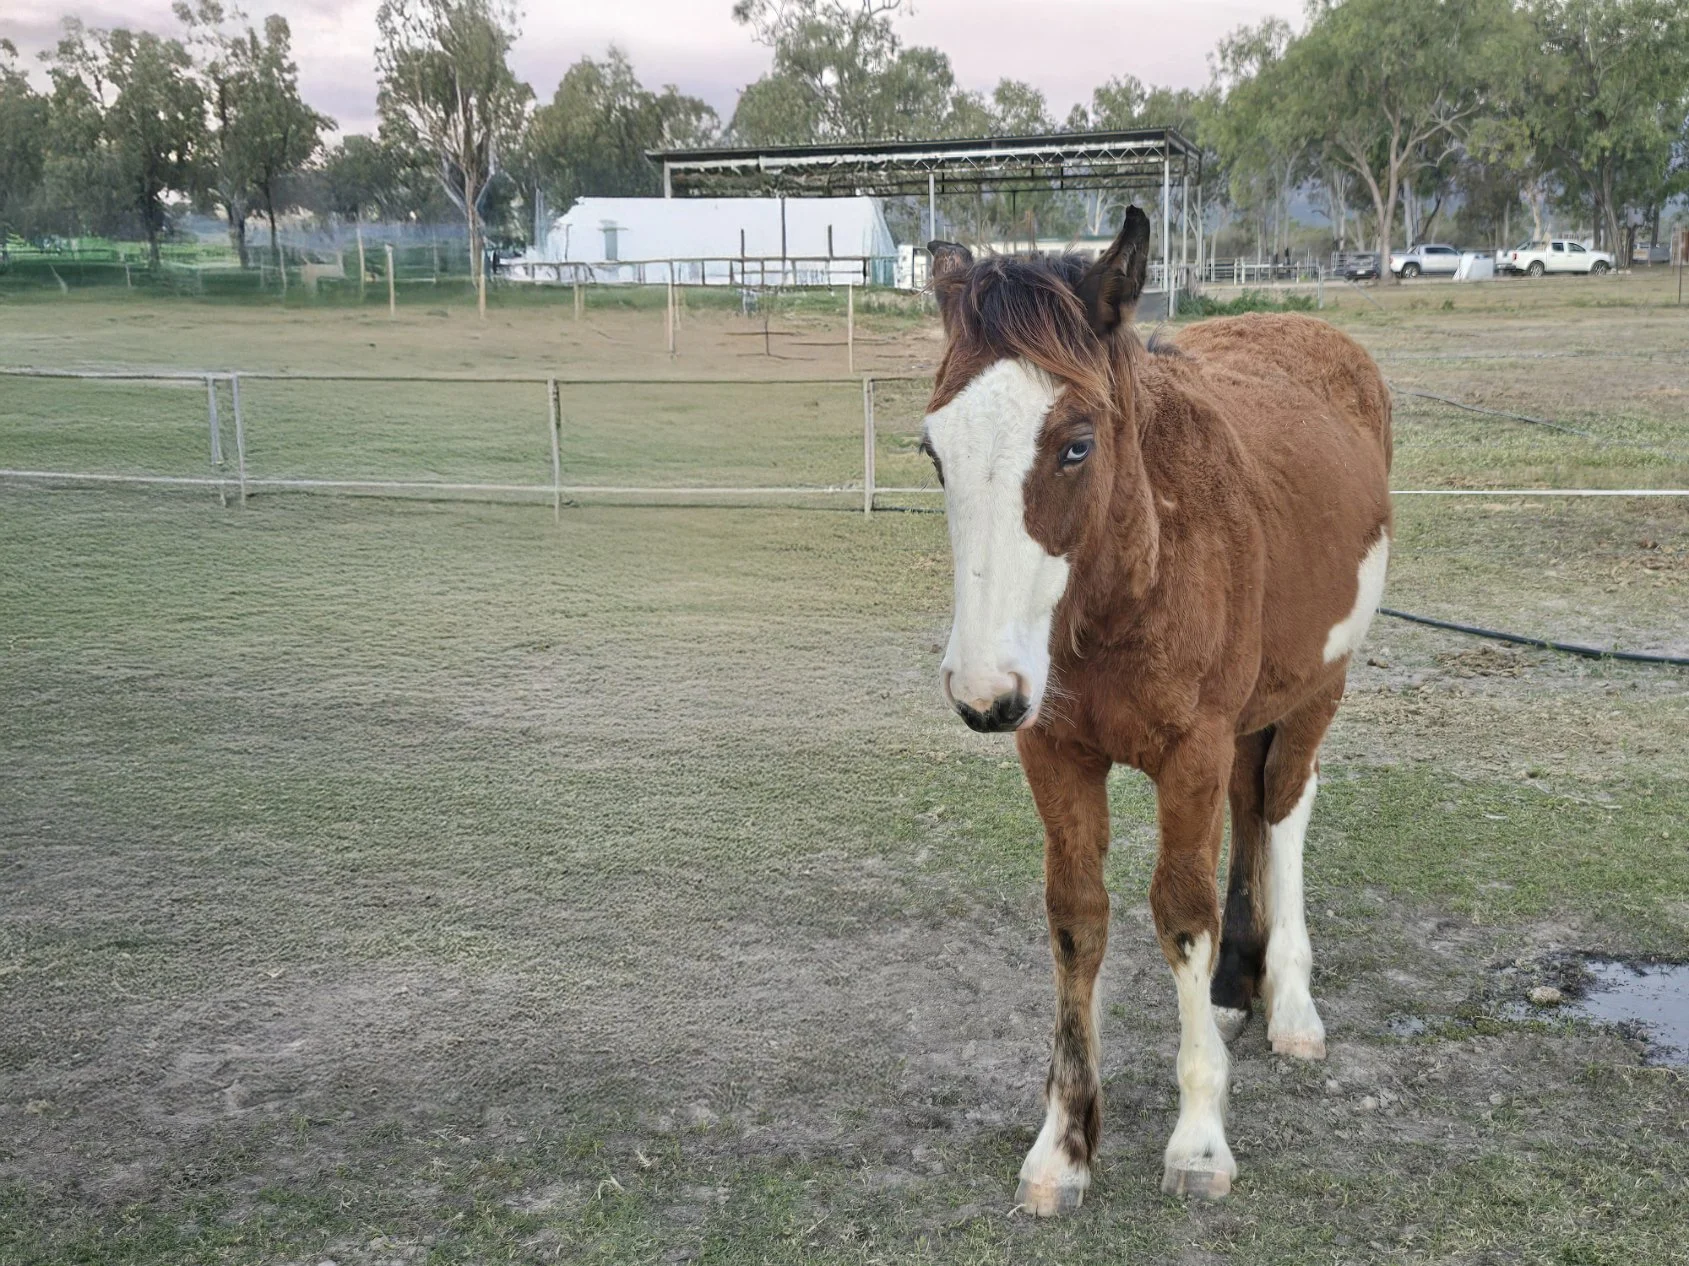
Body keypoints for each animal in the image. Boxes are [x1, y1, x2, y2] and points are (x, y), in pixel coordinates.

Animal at [918, 206, 1392, 1212]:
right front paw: (1062, 1145)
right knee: (1252, 807)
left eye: (1076, 443)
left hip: (1317, 687)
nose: (982, 690)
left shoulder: (1192, 752)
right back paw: (1236, 984)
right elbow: (1075, 921)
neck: (1132, 578)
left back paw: (1289, 1002)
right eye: (933, 452)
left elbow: (1180, 916)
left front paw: (1200, 1141)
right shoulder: (1053, 751)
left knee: (1284, 805)